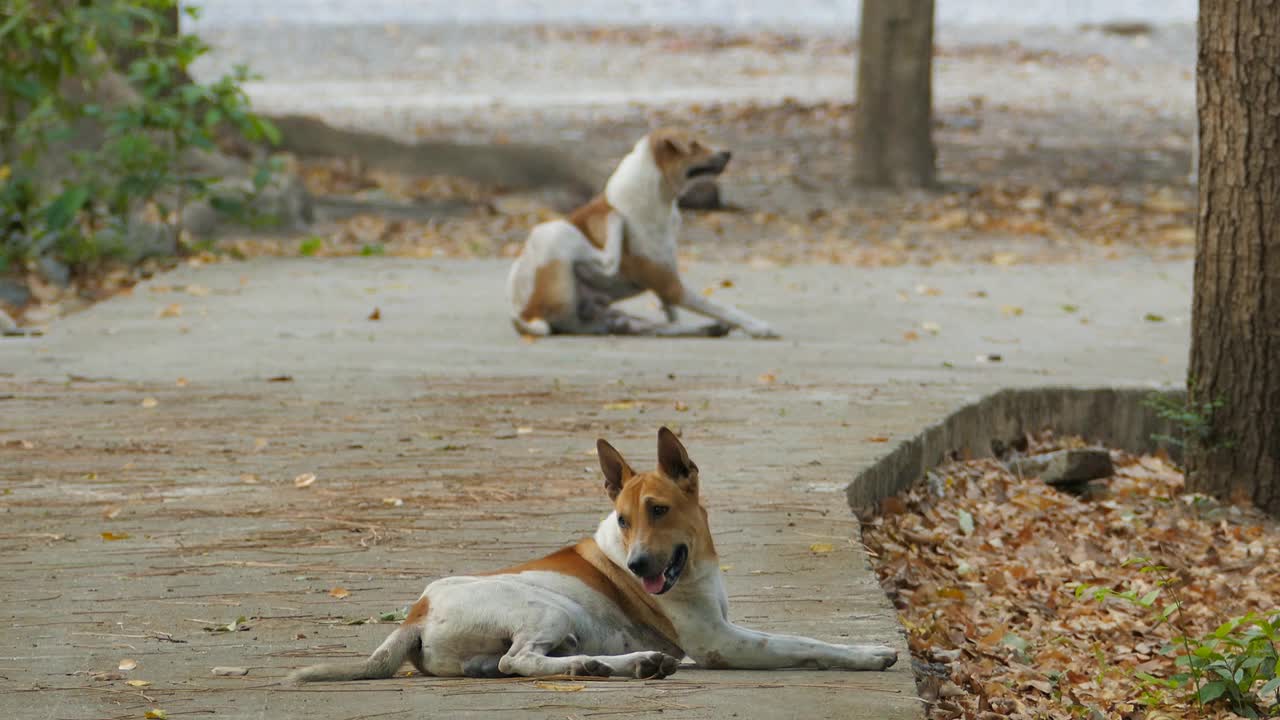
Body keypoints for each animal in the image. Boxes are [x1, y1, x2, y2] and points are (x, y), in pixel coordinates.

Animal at [506, 128, 778, 338]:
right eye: (693, 144)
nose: (728, 153)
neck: (657, 198)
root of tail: (526, 314)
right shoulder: (671, 285)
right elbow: (722, 307)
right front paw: (759, 327)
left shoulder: (667, 282)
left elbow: (673, 316)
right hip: (555, 231)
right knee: (607, 261)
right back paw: (614, 222)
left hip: (610, 316)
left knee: (654, 328)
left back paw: (707, 329)